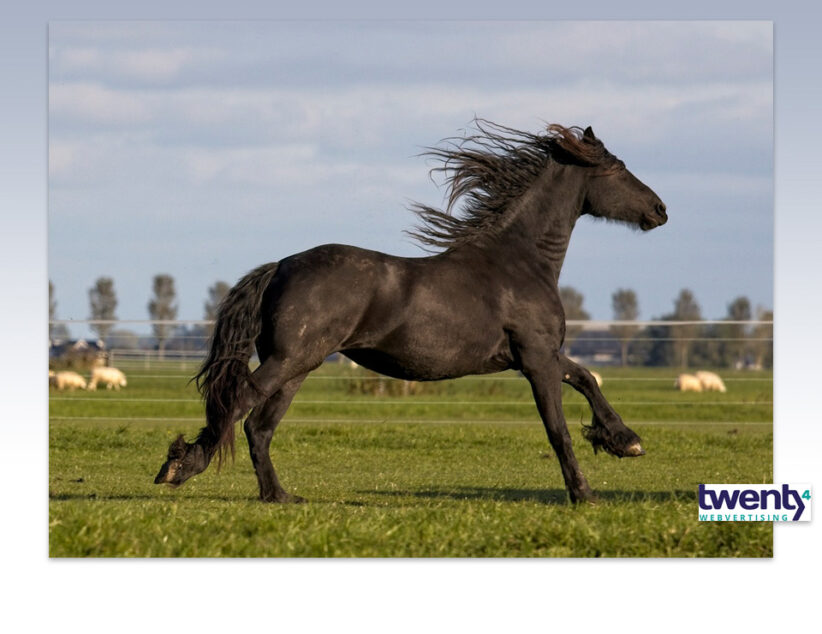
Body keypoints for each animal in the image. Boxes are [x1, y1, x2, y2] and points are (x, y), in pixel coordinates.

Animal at [156, 121, 668, 502]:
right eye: (618, 170)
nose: (660, 209)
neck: (520, 261)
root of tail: (280, 266)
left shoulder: (536, 355)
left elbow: (585, 378)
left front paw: (624, 440)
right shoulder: (536, 360)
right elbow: (558, 428)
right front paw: (585, 493)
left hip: (298, 366)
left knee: (258, 426)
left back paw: (279, 496)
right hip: (289, 361)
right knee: (239, 406)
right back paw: (180, 467)